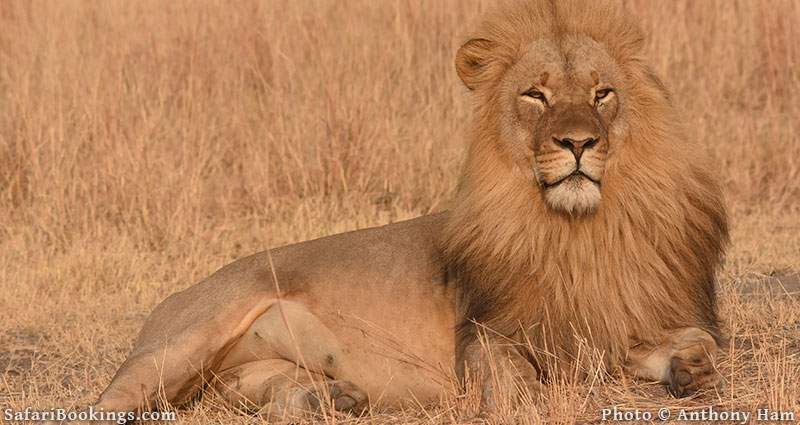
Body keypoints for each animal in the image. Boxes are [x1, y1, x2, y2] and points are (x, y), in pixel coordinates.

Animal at [90, 0, 728, 418]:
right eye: (536, 94)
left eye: (602, 93)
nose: (578, 142)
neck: (578, 232)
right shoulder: (484, 337)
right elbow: (519, 387)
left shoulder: (623, 317)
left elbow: (699, 340)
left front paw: (691, 370)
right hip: (188, 336)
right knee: (109, 398)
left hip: (238, 374)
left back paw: (330, 397)